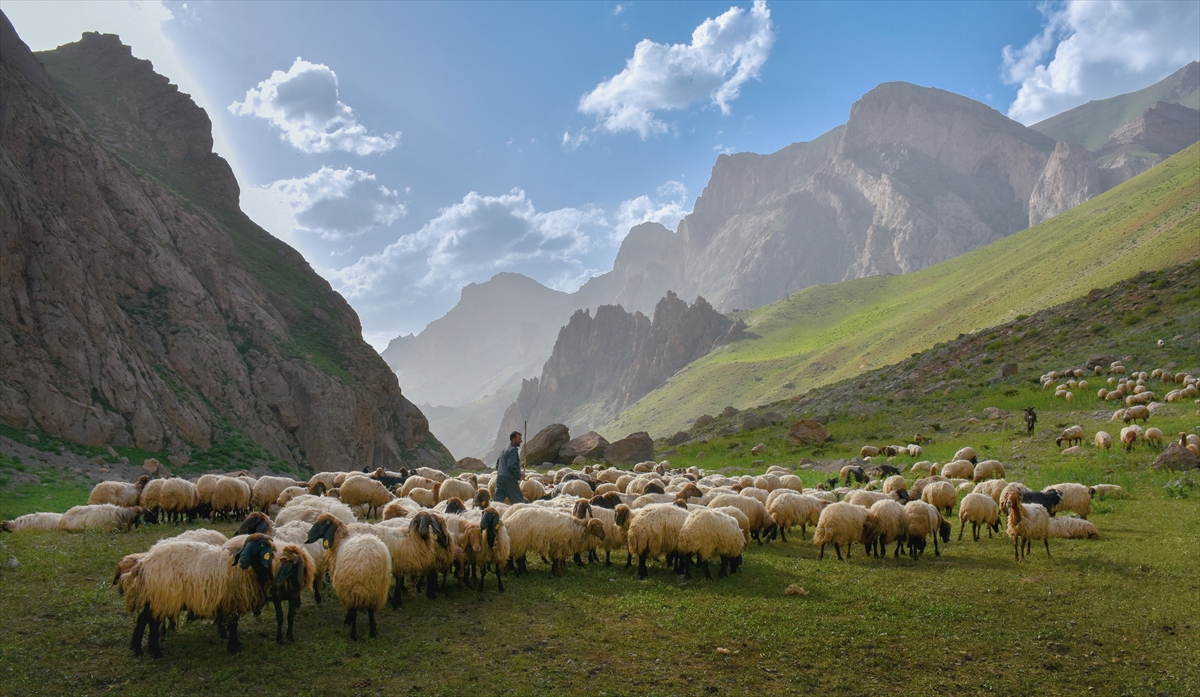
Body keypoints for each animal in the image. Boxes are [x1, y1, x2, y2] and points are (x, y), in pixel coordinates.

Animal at [123, 535, 278, 657]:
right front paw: (234, 647)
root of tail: (144, 563)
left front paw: (232, 641)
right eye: (245, 545)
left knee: (143, 619)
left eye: (261, 545)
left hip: (156, 597)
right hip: (162, 596)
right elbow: (233, 625)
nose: (243, 559)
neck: (248, 572)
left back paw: (138, 650)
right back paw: (155, 652)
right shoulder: (233, 601)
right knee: (152, 622)